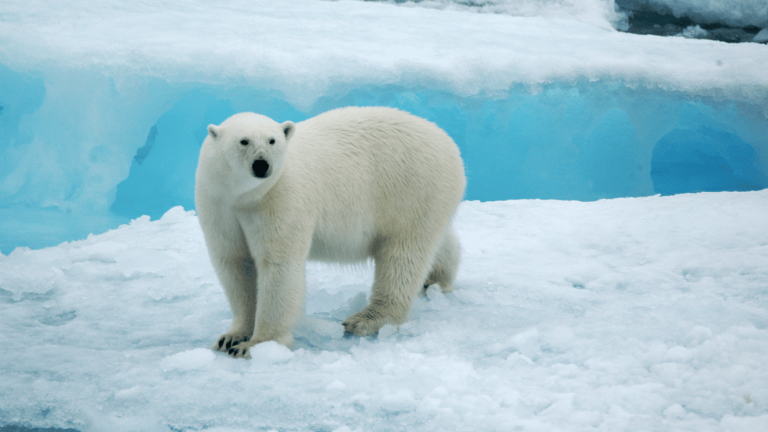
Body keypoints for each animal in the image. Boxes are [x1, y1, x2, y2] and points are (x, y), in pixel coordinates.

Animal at [195, 106, 465, 358]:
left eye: (272, 140)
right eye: (244, 141)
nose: (262, 165)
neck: (245, 195)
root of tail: (450, 144)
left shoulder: (280, 198)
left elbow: (278, 264)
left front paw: (257, 345)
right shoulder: (219, 204)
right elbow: (235, 262)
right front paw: (231, 337)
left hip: (411, 188)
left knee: (402, 256)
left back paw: (365, 320)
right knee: (434, 241)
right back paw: (436, 279)